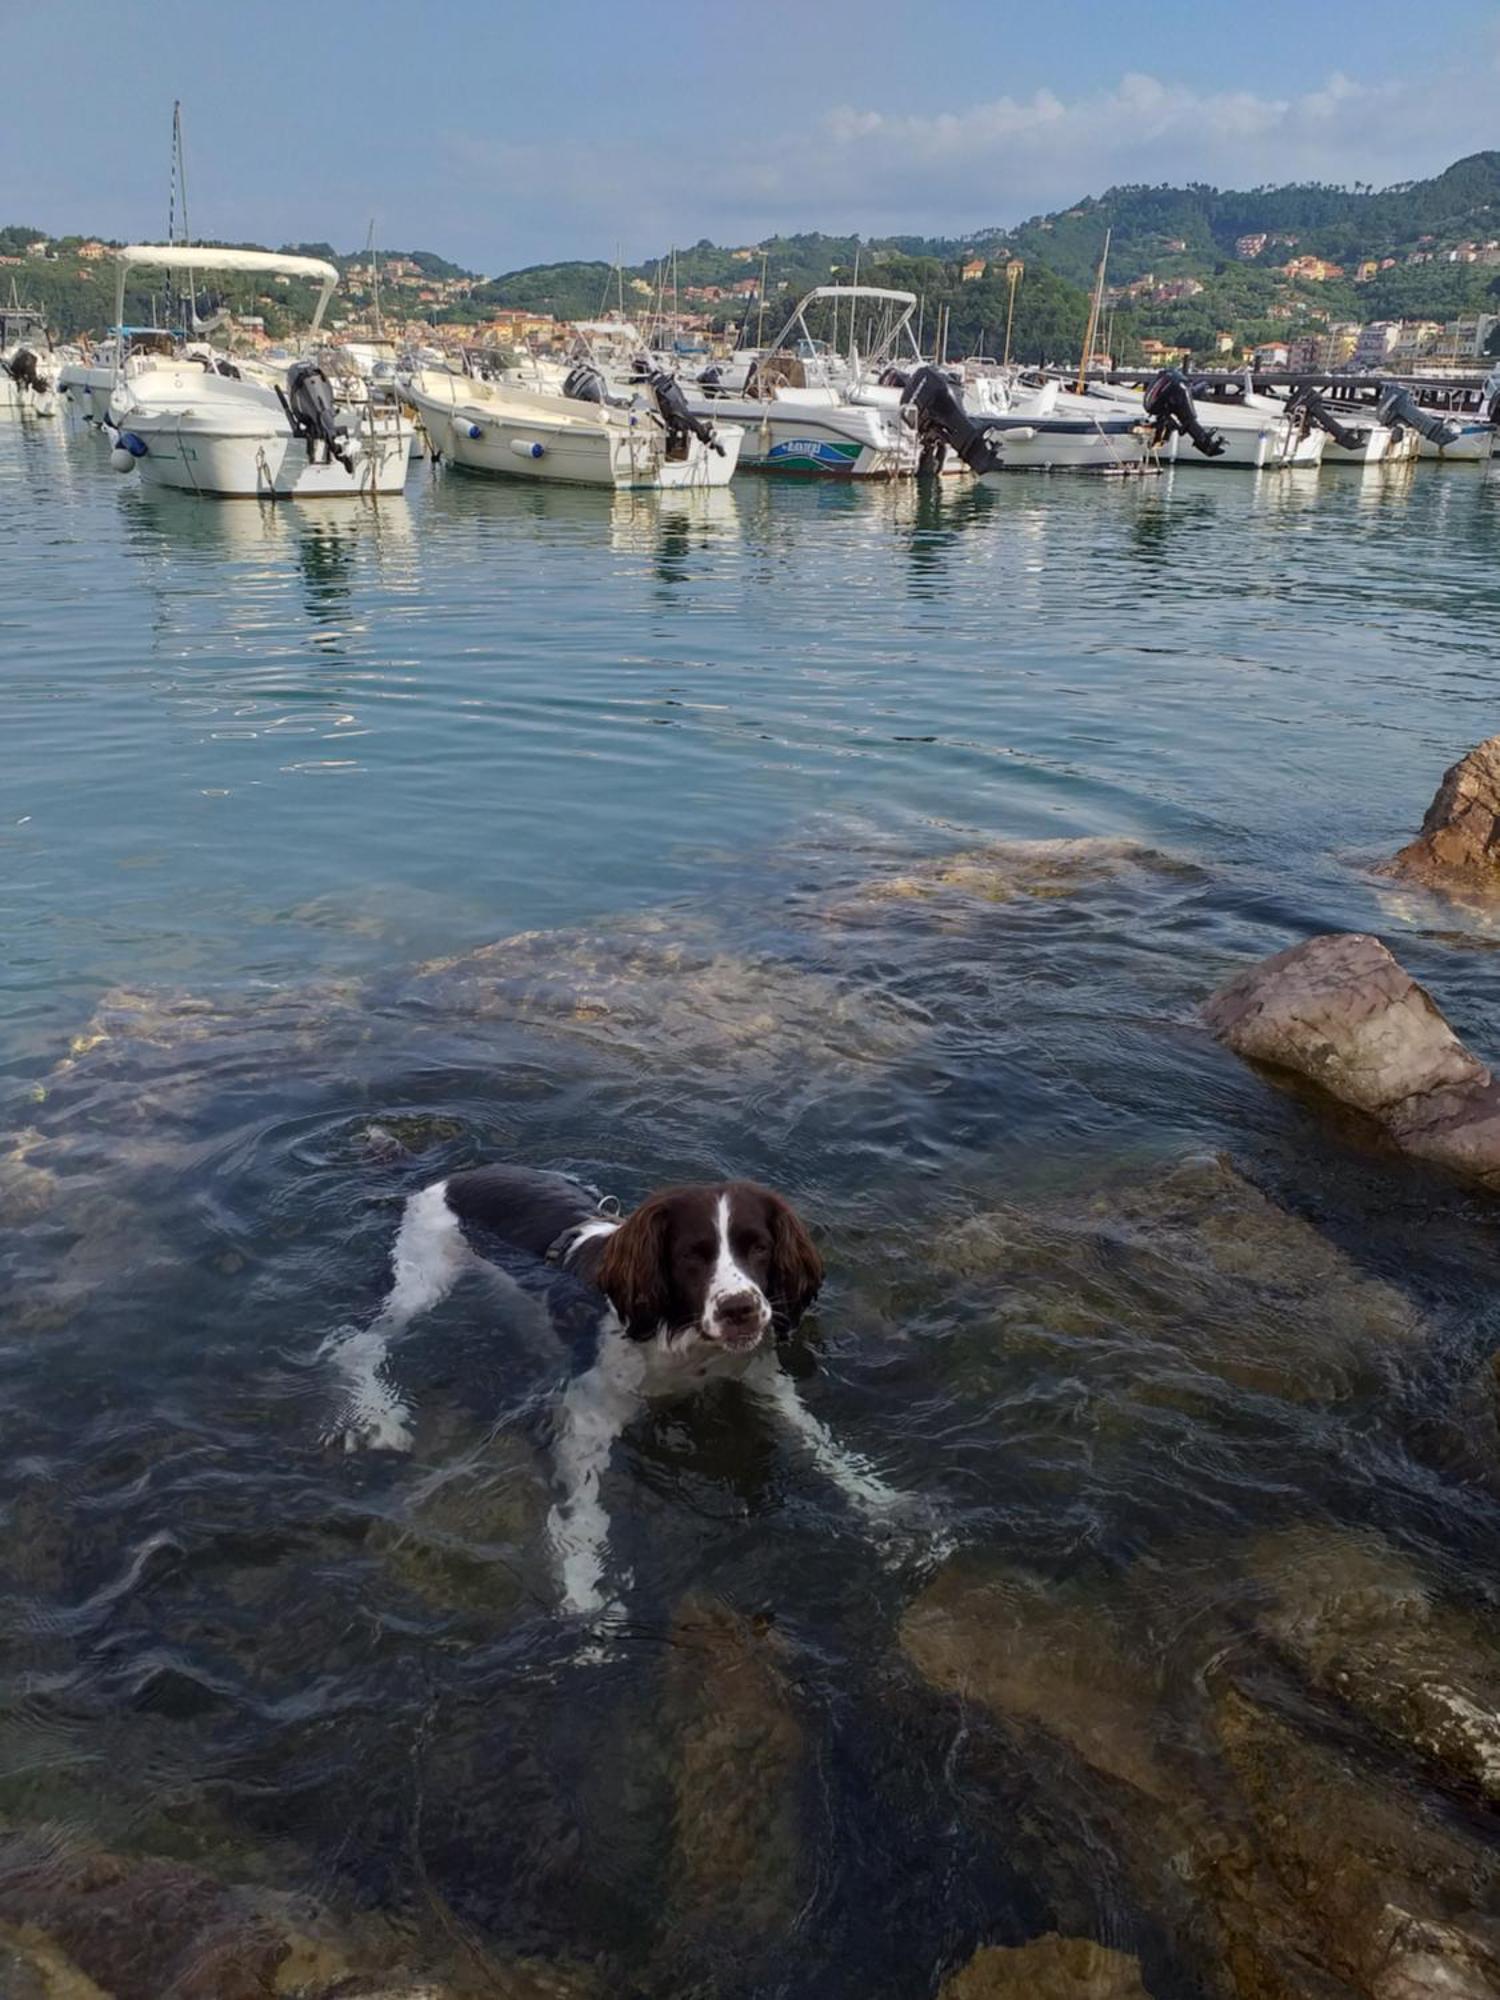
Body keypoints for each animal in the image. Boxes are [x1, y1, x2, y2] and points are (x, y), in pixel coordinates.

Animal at [324, 1168, 912, 1616]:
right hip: (424, 1278)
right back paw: (378, 1417)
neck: (682, 1340)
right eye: (692, 1255)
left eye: (760, 1248)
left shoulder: (760, 1378)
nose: (740, 1310)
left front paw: (882, 1506)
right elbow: (582, 1514)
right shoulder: (587, 1414)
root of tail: (449, 1177)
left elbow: (822, 1442)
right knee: (359, 1345)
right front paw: (586, 1591)